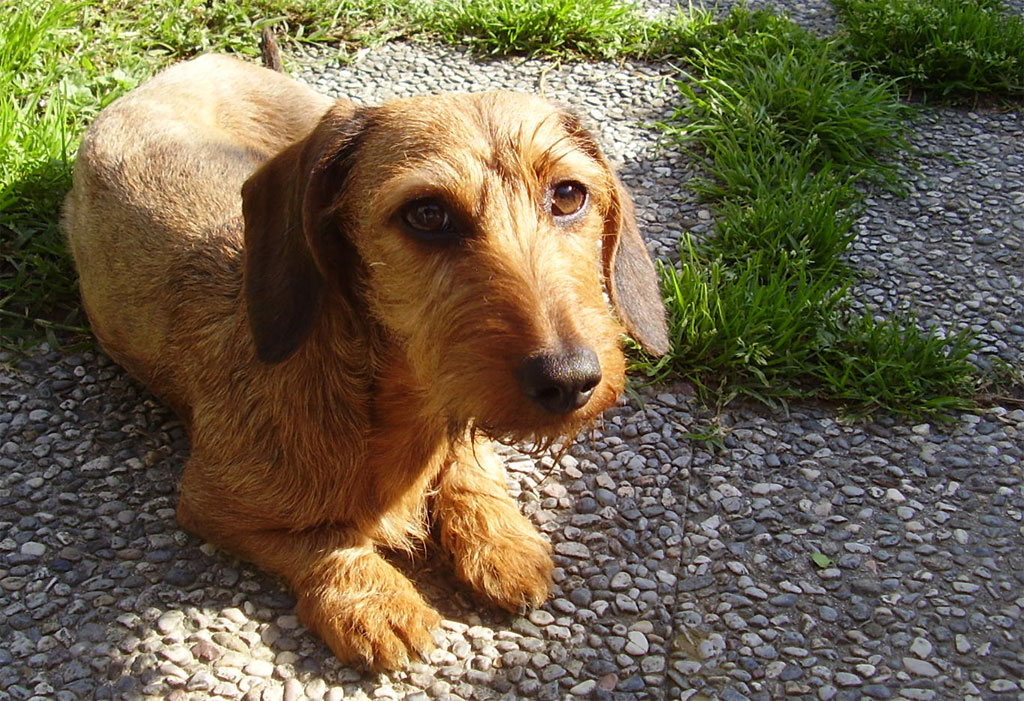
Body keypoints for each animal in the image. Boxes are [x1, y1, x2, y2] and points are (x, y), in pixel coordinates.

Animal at [64, 53, 671, 667]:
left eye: (569, 195)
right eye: (426, 214)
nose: (570, 380)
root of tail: (203, 60)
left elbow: (470, 467)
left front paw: (502, 541)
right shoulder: (210, 503)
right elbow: (323, 537)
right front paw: (372, 599)